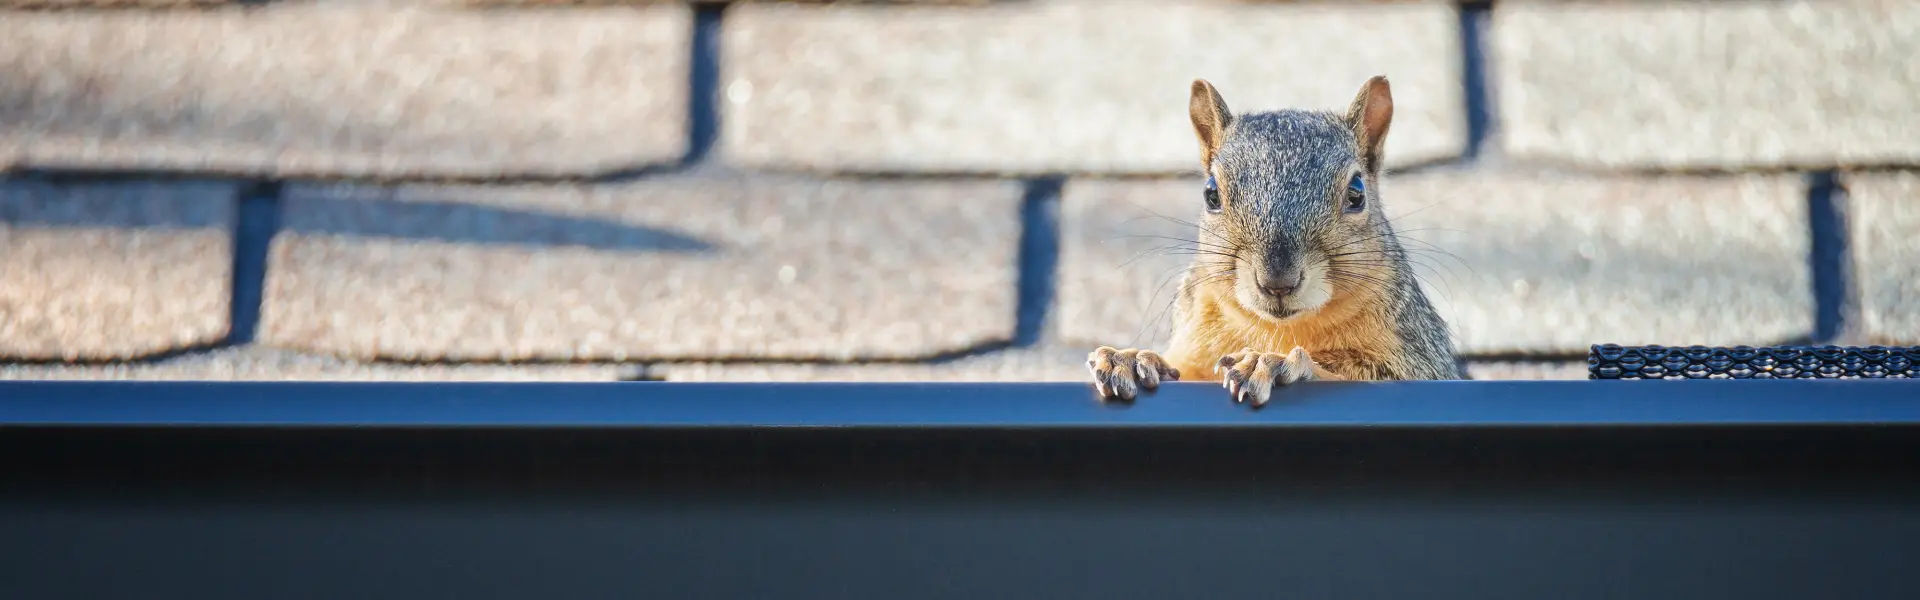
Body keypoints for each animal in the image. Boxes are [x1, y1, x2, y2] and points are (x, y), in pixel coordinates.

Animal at [1087, 75, 1463, 406]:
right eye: (1211, 194)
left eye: (1357, 194)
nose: (1277, 281)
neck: (1276, 328)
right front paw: (1133, 360)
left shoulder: (1420, 358)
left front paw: (1277, 364)